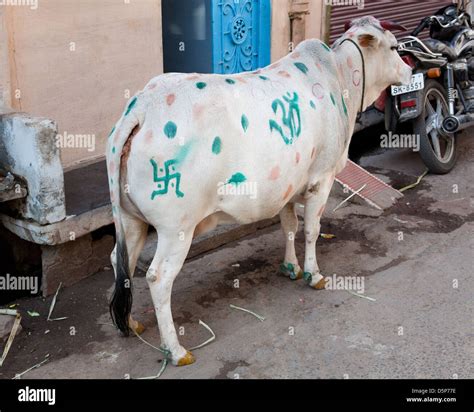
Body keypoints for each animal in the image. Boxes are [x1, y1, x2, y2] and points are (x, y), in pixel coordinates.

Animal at [106, 16, 412, 366]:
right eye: (394, 47)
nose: (408, 71)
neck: (339, 77)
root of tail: (141, 108)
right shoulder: (320, 179)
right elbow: (312, 230)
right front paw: (314, 275)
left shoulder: (288, 186)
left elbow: (290, 226)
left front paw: (291, 267)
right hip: (175, 228)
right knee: (158, 277)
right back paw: (176, 350)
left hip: (130, 219)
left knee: (122, 261)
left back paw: (130, 323)